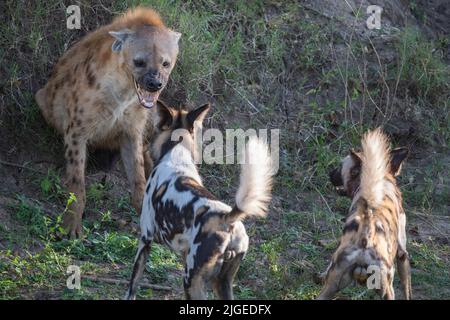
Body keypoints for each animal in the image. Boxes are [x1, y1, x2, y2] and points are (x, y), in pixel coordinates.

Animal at [34, 7, 181, 238]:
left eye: (165, 63)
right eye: (139, 62)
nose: (155, 83)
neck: (123, 93)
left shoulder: (132, 131)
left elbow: (138, 177)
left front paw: (145, 218)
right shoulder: (76, 130)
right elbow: (77, 180)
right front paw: (71, 226)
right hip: (41, 99)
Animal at [125, 101, 274, 298]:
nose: (144, 143)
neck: (176, 153)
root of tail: (227, 220)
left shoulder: (145, 240)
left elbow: (132, 286)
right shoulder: (183, 255)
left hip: (191, 281)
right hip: (221, 283)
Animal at [316, 128, 412, 300]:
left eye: (340, 166)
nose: (329, 173)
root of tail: (366, 237)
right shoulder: (402, 253)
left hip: (330, 289)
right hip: (388, 290)